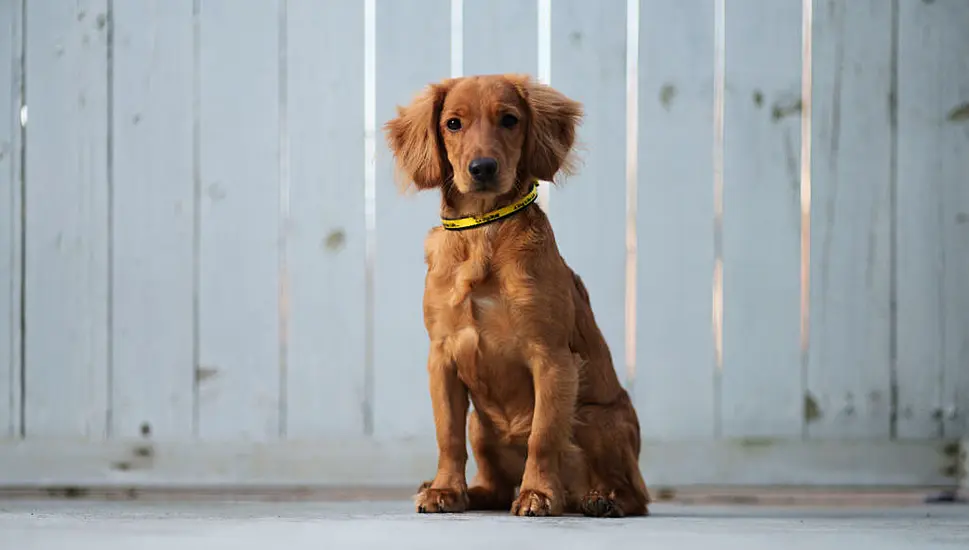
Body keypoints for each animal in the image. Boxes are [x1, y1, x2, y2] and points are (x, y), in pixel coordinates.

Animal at [382, 74, 648, 520]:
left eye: (509, 120)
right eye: (453, 123)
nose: (483, 168)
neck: (482, 233)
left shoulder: (552, 358)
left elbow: (543, 436)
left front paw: (538, 493)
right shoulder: (442, 358)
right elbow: (447, 435)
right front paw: (444, 489)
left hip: (594, 418)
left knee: (637, 495)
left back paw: (602, 500)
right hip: (481, 425)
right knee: (494, 485)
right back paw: (468, 493)